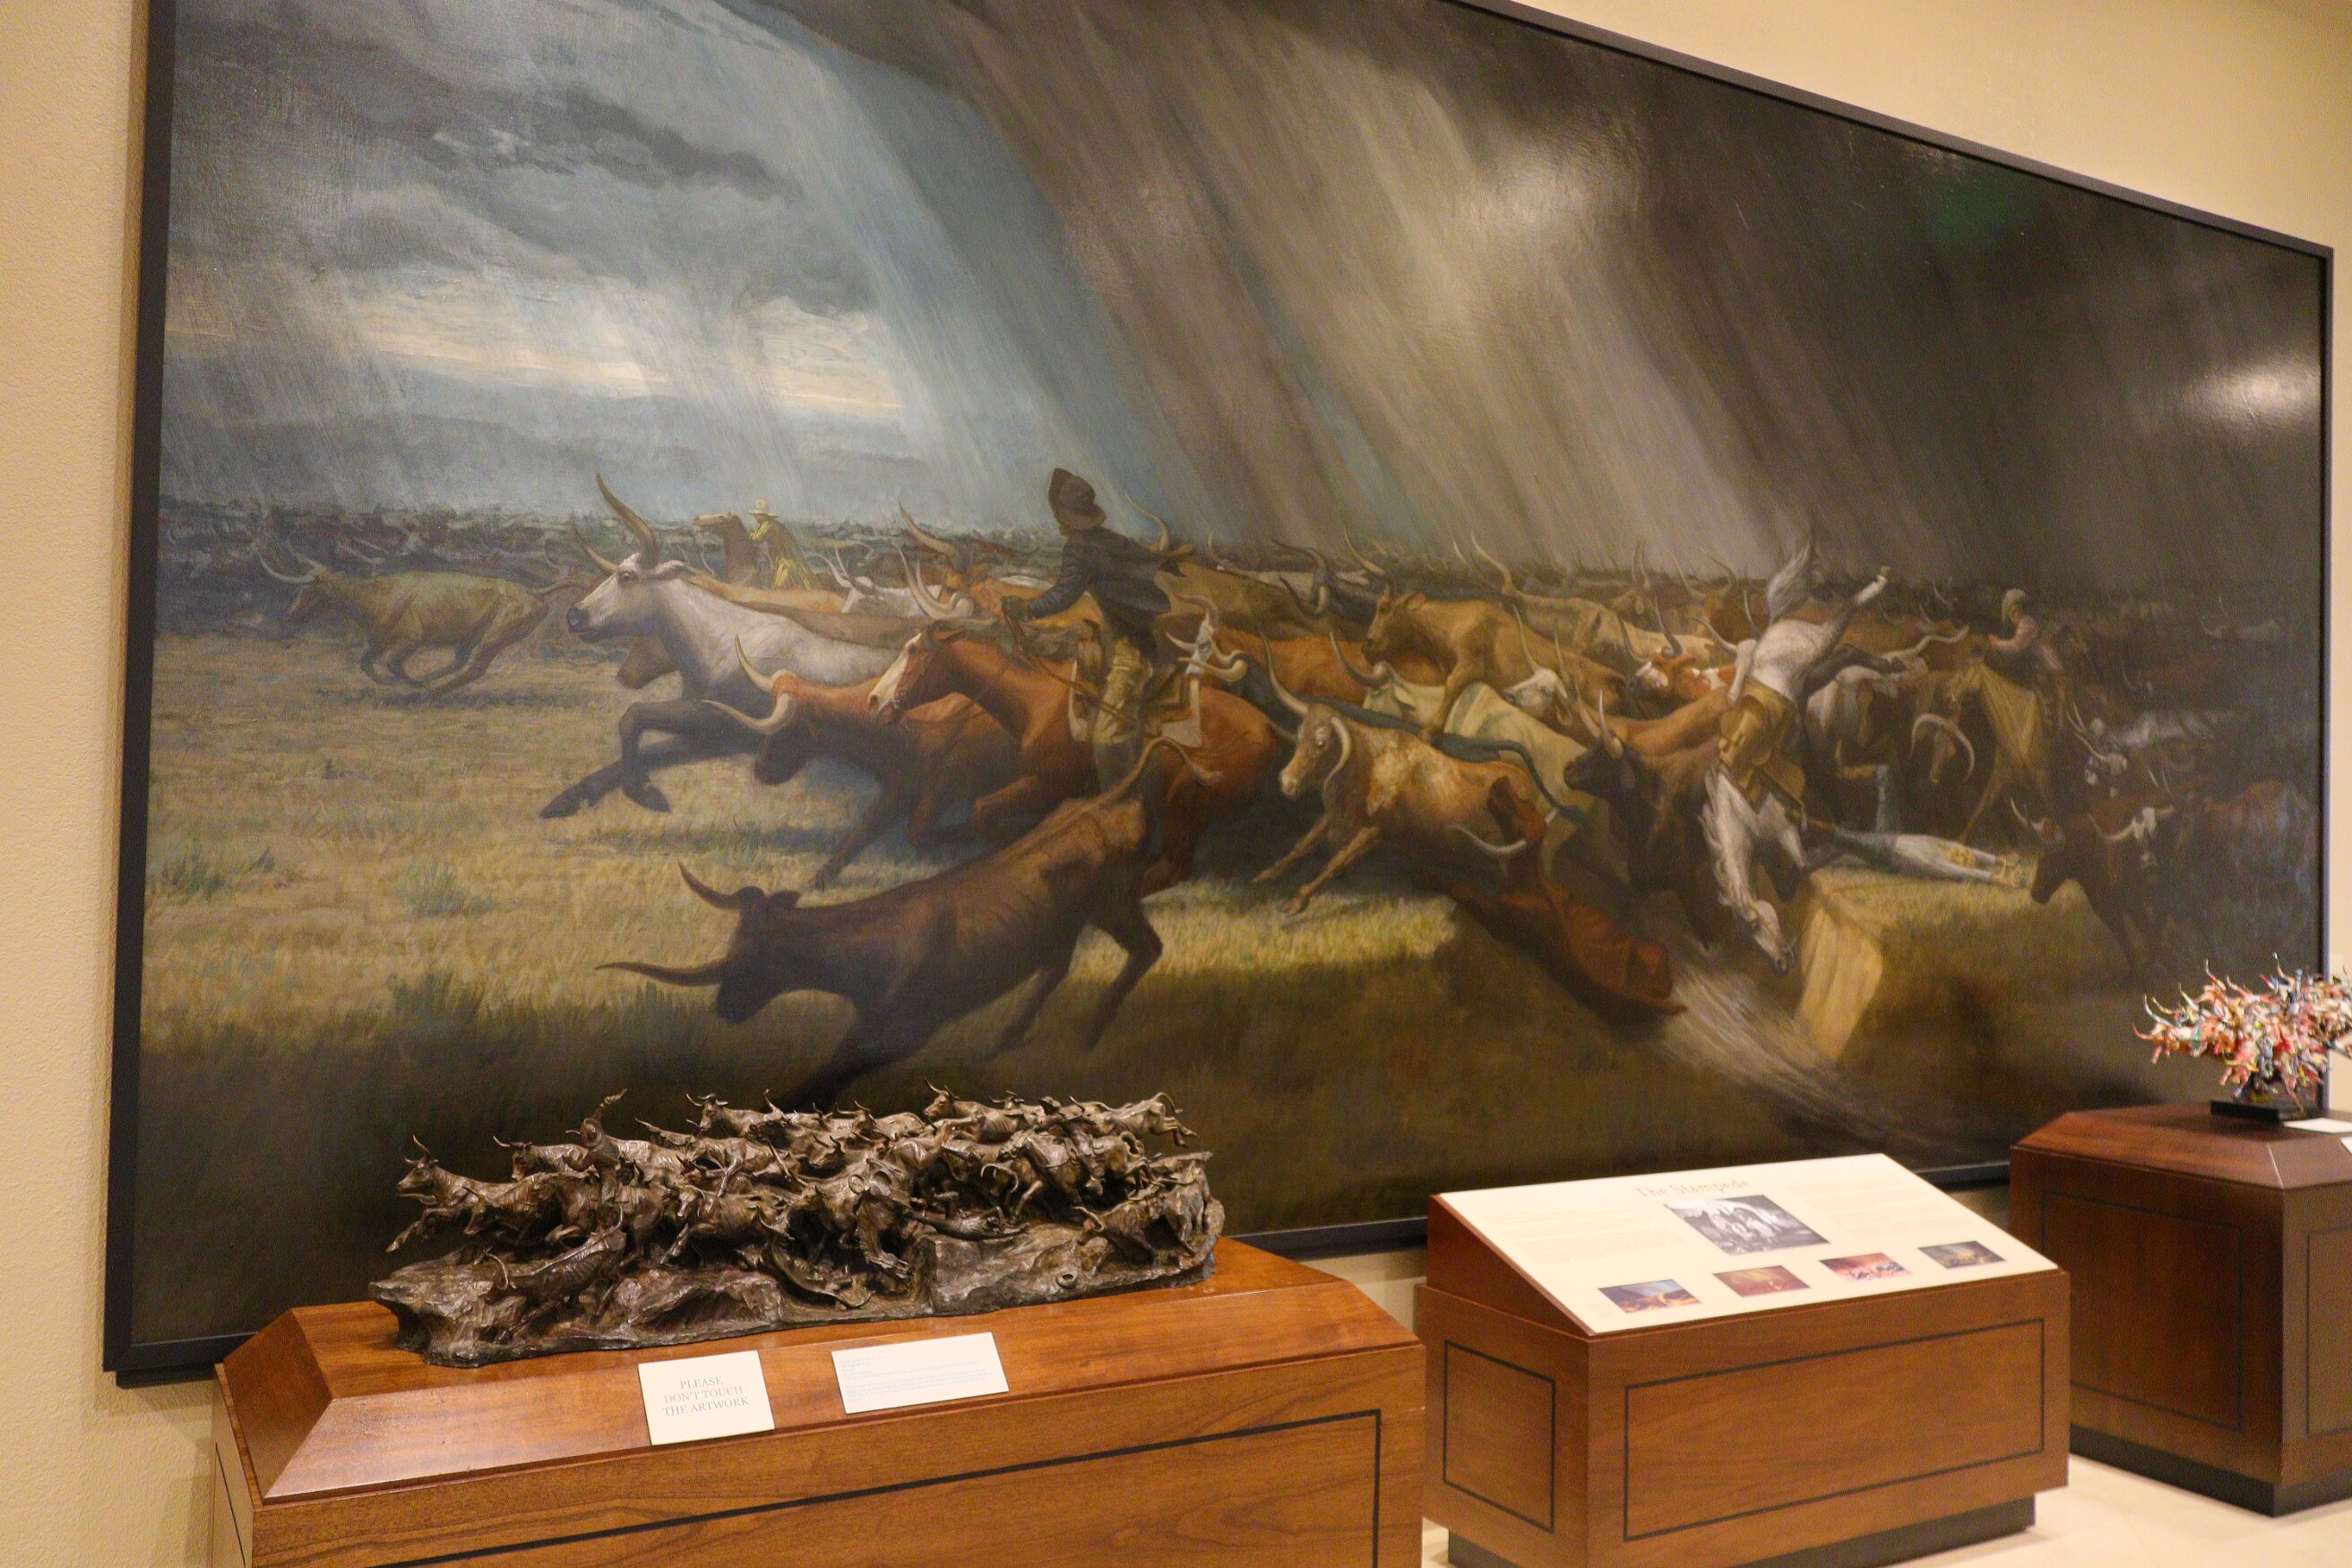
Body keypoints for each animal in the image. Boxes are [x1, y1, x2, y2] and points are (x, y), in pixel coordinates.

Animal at [604, 741, 1199, 1108]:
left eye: (754, 958)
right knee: (1058, 966)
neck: (869, 951)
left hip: (1115, 904)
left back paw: (1089, 1034)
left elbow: (818, 1082)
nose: (722, 1009)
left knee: (1146, 949)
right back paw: (1003, 1042)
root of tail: (1114, 799)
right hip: (1066, 923)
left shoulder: (899, 1028)